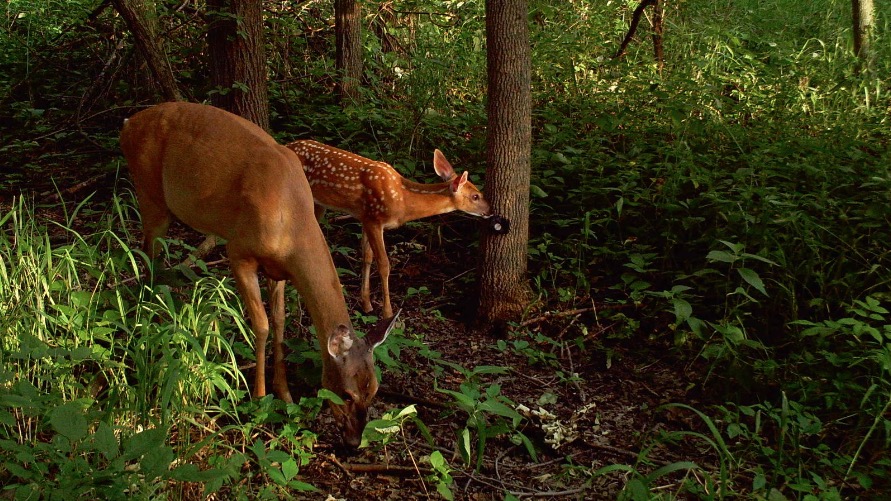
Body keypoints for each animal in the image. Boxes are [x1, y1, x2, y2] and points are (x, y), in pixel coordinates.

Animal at [120, 102, 398, 446]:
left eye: (374, 390)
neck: (290, 221)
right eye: (346, 394)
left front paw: (285, 393)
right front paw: (260, 396)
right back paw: (146, 326)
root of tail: (128, 123)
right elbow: (262, 325)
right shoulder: (239, 252)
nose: (354, 441)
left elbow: (279, 321)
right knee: (147, 256)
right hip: (149, 192)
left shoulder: (278, 269)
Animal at [290, 140, 492, 320]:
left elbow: (367, 257)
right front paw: (387, 313)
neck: (402, 199)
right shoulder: (375, 219)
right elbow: (384, 264)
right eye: (475, 196)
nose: (490, 211)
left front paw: (366, 304)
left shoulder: (366, 217)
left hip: (319, 205)